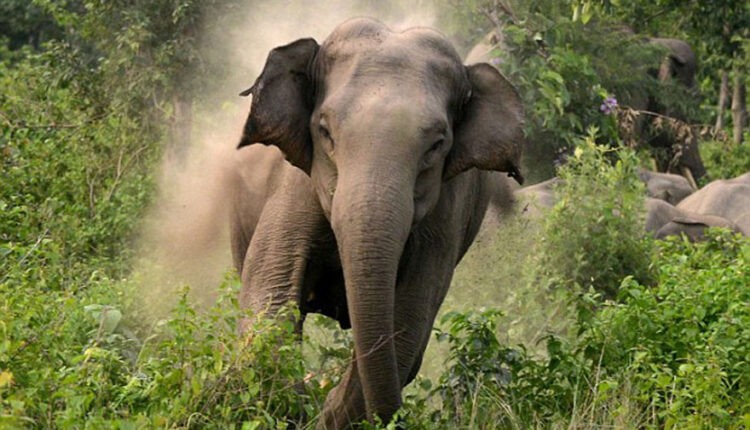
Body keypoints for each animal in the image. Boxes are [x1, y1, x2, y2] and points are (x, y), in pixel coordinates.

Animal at [232, 18, 524, 428]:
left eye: (437, 144)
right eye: (325, 131)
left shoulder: (445, 216)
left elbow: (407, 325)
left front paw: (325, 413)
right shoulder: (295, 186)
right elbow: (269, 295)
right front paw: (297, 408)